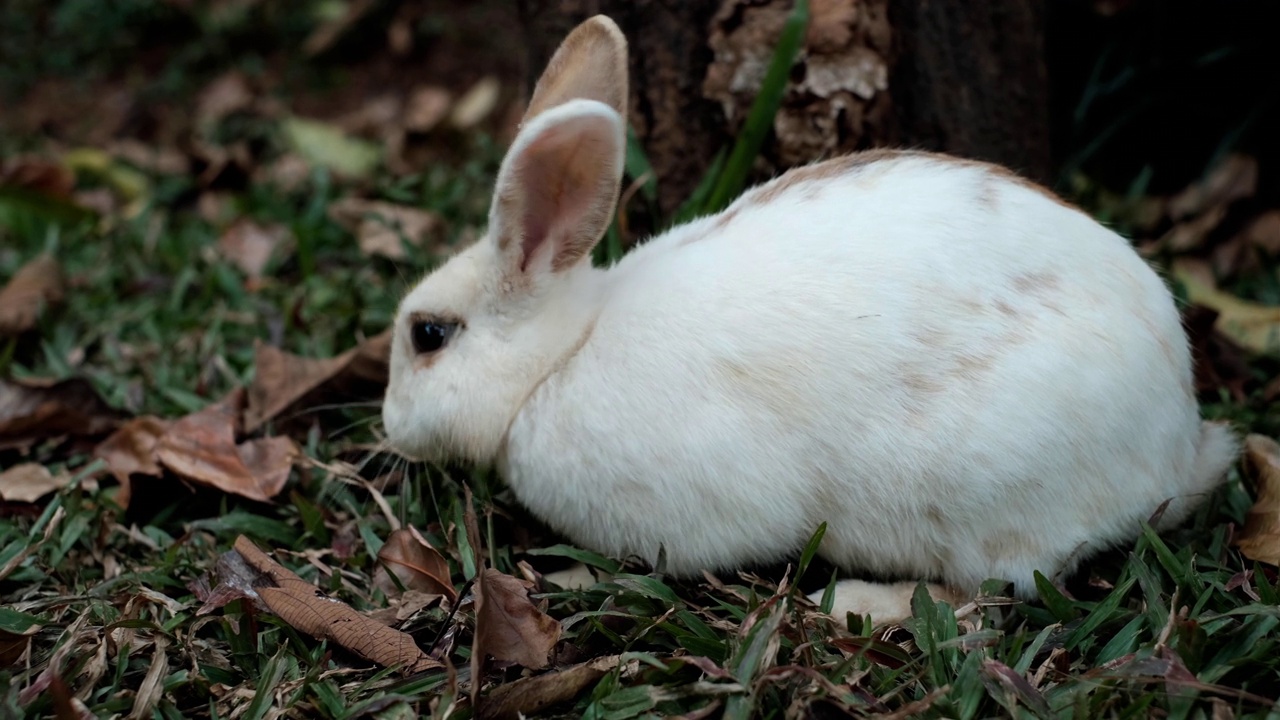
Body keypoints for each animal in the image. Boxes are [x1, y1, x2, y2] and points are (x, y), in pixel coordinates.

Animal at [378, 15, 1239, 622]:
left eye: (428, 335)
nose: (389, 426)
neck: (559, 359)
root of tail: (1178, 442)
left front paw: (571, 572)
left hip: (993, 500)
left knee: (995, 590)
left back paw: (858, 602)